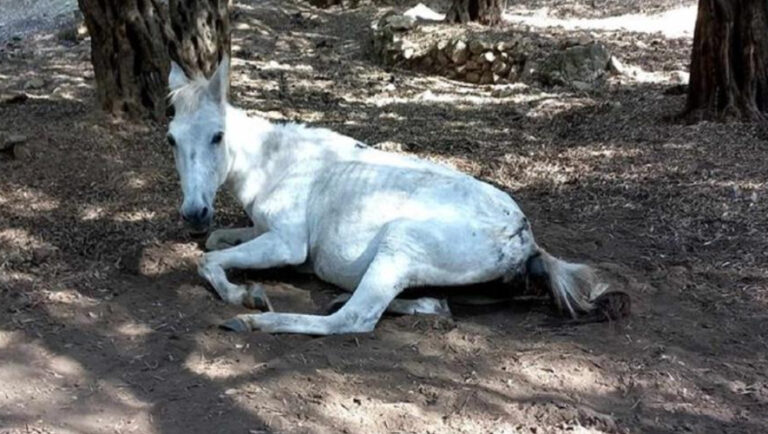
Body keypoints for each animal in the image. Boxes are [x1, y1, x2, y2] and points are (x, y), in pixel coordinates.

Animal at [168, 56, 624, 336]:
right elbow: (215, 243)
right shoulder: (260, 231)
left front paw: (246, 295)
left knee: (354, 318)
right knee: (435, 306)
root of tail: (526, 239)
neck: (277, 163)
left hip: (397, 245)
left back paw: (254, 322)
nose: (194, 213)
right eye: (171, 138)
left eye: (217, 136)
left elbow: (207, 260)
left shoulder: (287, 244)